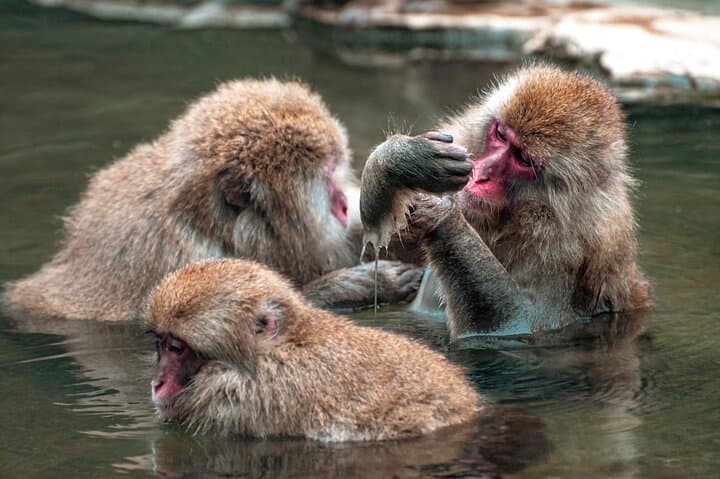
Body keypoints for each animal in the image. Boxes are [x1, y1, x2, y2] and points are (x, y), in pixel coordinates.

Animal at [5, 79, 422, 321]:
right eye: (327, 180)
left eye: (338, 169)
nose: (345, 203)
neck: (213, 226)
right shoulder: (181, 261)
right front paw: (354, 285)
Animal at [360, 65, 652, 337]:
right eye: (500, 135)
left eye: (523, 159)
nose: (480, 174)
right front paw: (399, 160)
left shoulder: (568, 252)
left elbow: (519, 323)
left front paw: (442, 213)